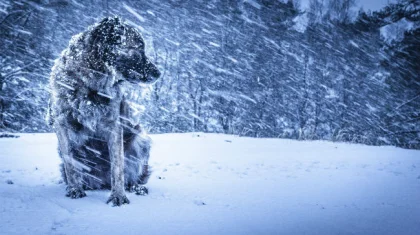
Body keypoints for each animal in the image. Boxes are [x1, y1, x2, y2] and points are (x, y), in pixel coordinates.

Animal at [48, 16, 161, 206]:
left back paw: (135, 187)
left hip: (140, 140)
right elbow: (70, 163)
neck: (89, 86)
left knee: (132, 174)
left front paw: (118, 196)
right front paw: (74, 189)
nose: (159, 73)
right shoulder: (62, 124)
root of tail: (102, 182)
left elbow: (118, 167)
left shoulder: (114, 126)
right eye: (138, 48)